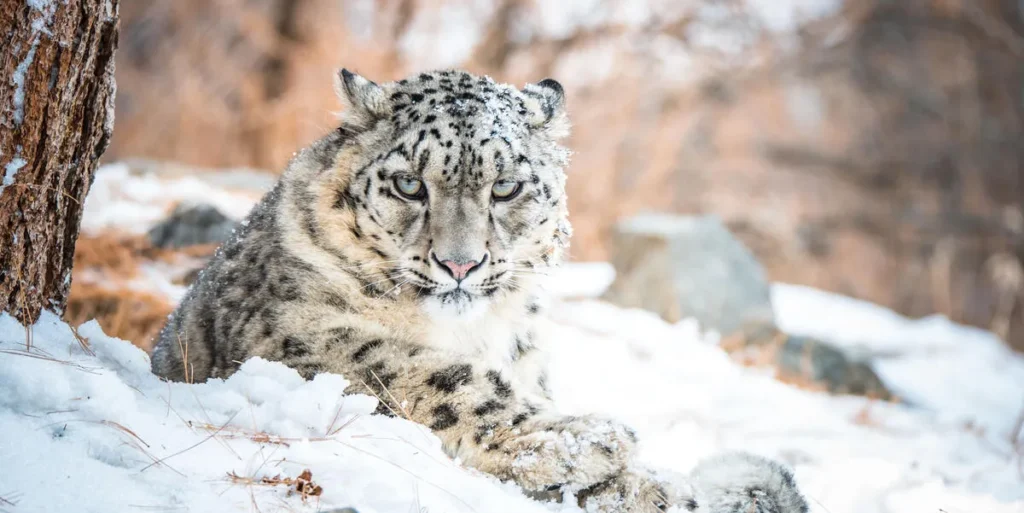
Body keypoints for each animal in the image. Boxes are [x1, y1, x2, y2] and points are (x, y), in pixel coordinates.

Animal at [150, 68, 808, 513]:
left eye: (507, 186)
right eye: (409, 184)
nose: (460, 264)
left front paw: (642, 481)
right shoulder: (293, 333)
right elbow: (428, 373)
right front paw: (587, 439)